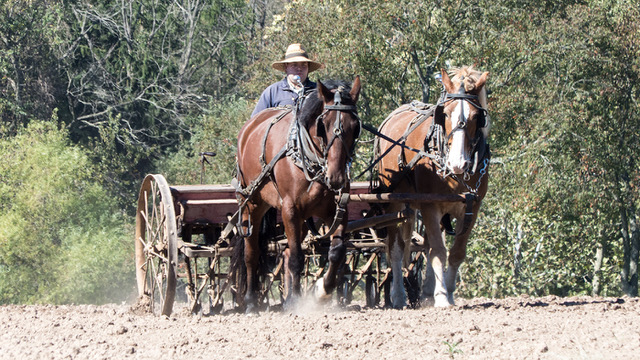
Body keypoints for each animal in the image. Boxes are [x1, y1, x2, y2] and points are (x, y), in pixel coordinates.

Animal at [235, 76, 360, 312]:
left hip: (300, 217)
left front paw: (322, 291)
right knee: (251, 253)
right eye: (323, 125)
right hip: (252, 204)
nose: (336, 178)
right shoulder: (290, 208)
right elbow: (296, 258)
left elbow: (337, 251)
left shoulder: (338, 209)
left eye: (355, 127)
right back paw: (250, 302)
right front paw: (295, 301)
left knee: (284, 252)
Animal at [376, 66, 490, 308]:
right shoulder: (430, 206)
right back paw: (398, 296)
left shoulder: (472, 208)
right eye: (444, 114)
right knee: (396, 249)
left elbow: (455, 252)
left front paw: (448, 293)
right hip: (394, 203)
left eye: (477, 116)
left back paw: (427, 291)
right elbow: (438, 250)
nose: (458, 162)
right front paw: (441, 297)